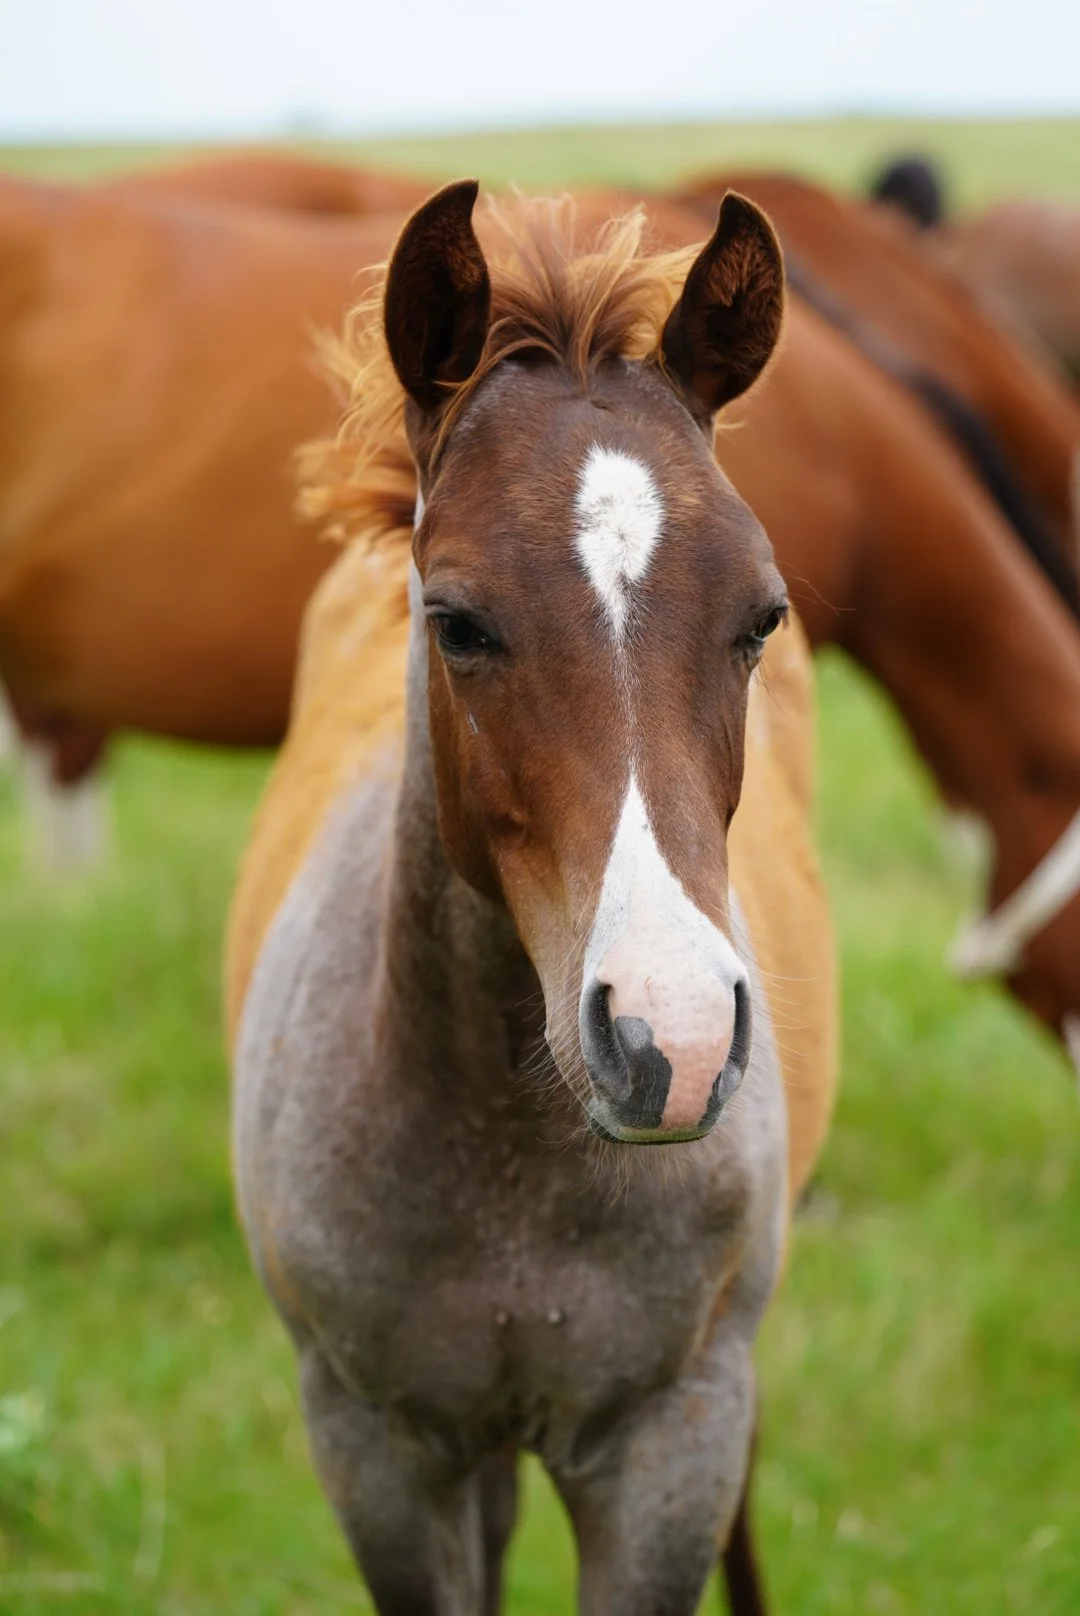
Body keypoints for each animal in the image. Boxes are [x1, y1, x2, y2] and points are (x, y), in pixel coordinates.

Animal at [227, 182, 837, 1616]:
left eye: (762, 617)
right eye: (456, 622)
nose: (674, 1041)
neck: (512, 1155)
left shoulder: (673, 1441)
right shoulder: (377, 1450)